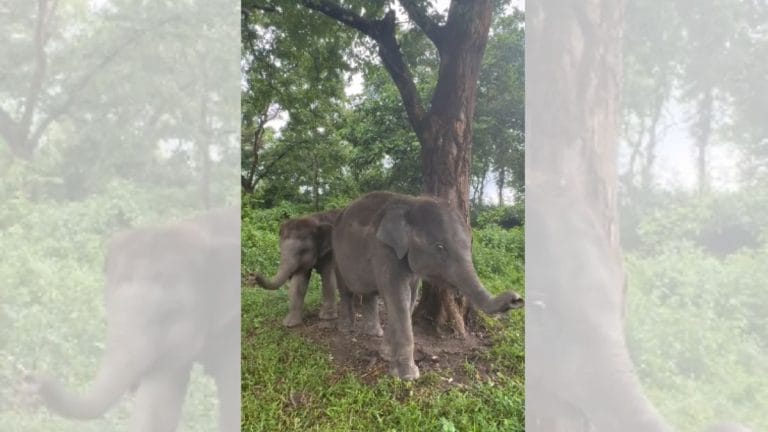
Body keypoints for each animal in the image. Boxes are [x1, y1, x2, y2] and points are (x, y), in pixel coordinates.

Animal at [331, 191, 524, 380]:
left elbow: (410, 298)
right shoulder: (383, 250)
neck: (411, 202)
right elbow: (398, 298)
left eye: (471, 243)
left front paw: (385, 355)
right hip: (337, 253)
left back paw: (373, 333)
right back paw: (346, 329)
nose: (516, 299)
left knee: (370, 294)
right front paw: (408, 376)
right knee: (345, 290)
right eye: (439, 247)